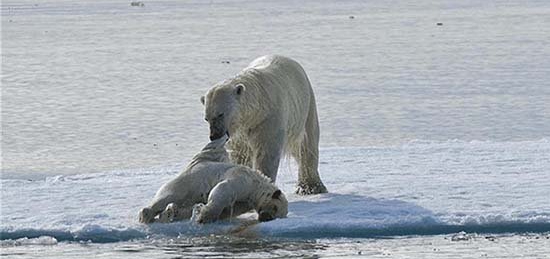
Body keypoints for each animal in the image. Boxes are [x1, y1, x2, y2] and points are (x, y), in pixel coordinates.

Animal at [205, 55, 330, 196]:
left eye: (220, 114)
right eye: (207, 118)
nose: (214, 135)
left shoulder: (269, 119)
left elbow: (267, 153)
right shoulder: (240, 131)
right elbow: (240, 153)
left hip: (306, 107)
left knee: (307, 144)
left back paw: (311, 187)